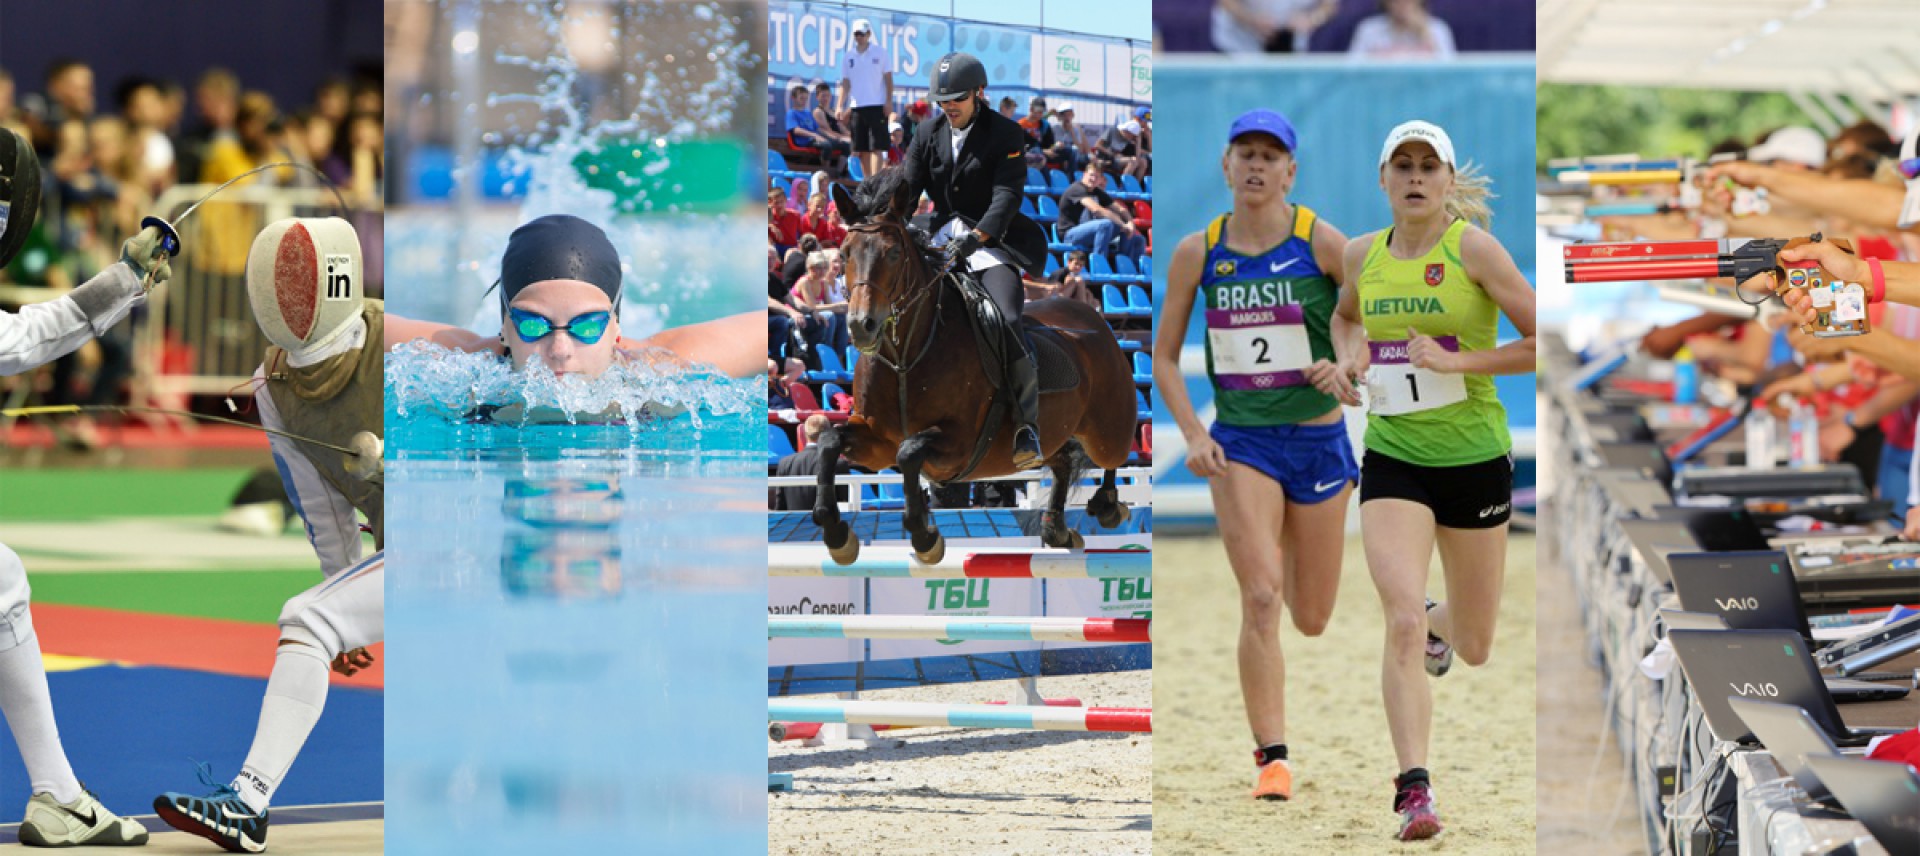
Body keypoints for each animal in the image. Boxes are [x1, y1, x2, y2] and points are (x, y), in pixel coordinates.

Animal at [810, 169, 1136, 564]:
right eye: (844, 253)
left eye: (893, 253)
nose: (862, 325)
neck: (904, 356)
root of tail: (1096, 320)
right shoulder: (877, 443)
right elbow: (829, 441)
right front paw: (836, 533)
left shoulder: (959, 444)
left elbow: (910, 452)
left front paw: (924, 537)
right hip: (1056, 433)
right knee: (1061, 463)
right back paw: (1057, 530)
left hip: (1108, 432)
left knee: (1112, 456)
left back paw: (1108, 505)